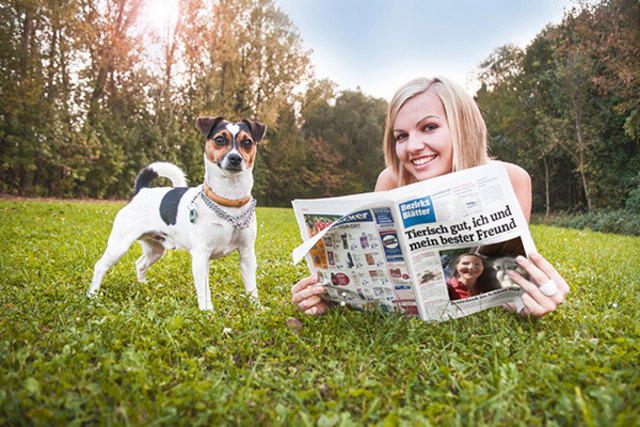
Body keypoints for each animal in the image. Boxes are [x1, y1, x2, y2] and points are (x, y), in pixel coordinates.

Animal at [87, 117, 264, 310]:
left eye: (247, 142)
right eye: (219, 140)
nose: (235, 158)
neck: (229, 201)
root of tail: (142, 191)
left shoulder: (247, 254)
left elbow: (251, 287)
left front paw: (257, 308)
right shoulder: (200, 255)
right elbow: (204, 290)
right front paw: (207, 312)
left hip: (155, 250)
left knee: (140, 264)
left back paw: (142, 288)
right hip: (119, 245)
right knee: (100, 266)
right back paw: (93, 295)